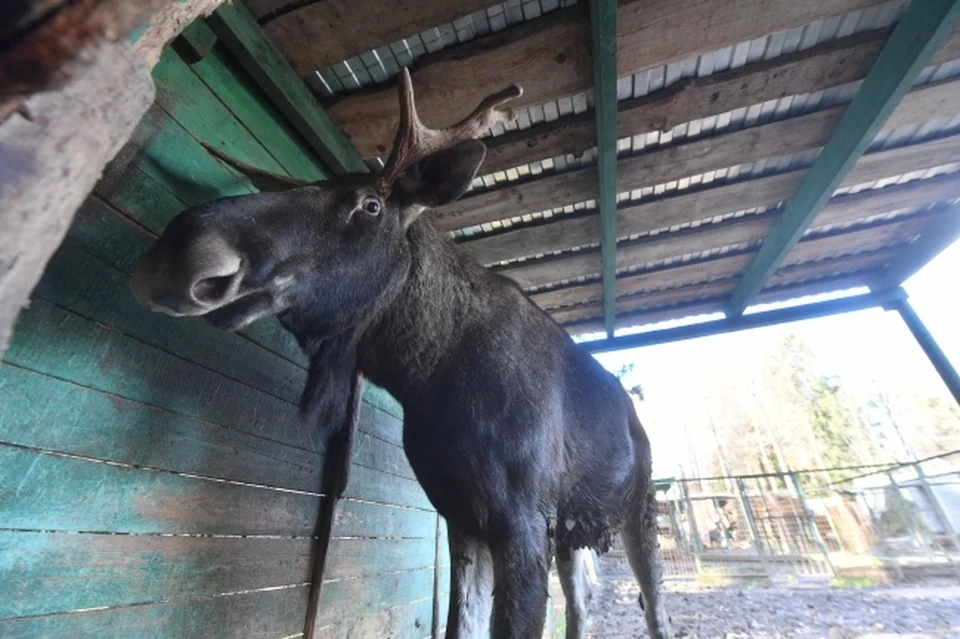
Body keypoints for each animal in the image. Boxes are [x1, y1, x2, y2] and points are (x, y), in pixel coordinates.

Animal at [131, 70, 672, 639]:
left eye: (370, 204)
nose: (180, 249)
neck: (428, 379)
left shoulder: (522, 517)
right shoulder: (463, 517)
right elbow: (461, 624)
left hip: (641, 506)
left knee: (654, 608)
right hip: (570, 530)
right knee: (582, 600)